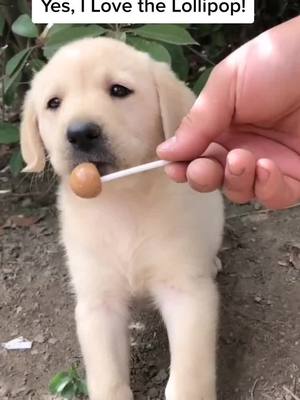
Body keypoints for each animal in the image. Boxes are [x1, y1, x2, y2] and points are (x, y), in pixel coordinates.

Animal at [20, 38, 223, 400]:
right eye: (53, 103)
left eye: (119, 90)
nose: (80, 133)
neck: (121, 200)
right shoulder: (97, 302)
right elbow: (107, 377)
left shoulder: (186, 292)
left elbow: (189, 376)